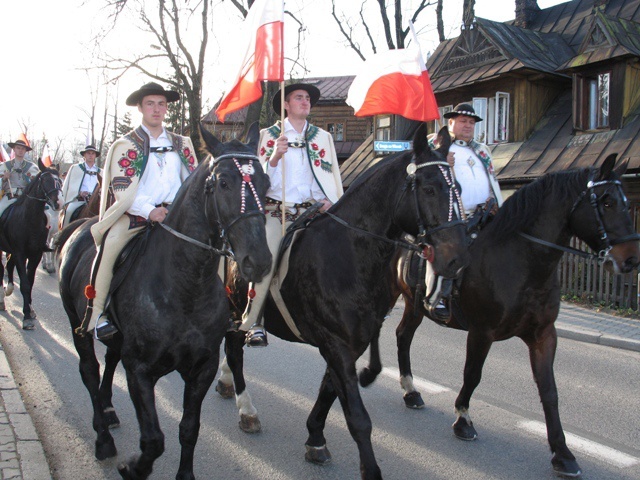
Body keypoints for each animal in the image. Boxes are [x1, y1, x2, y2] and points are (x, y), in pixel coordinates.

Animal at [0, 160, 62, 326]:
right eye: (45, 180)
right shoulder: (20, 253)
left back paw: (8, 289)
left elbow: (30, 282)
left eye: (60, 181)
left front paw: (30, 310)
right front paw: (27, 316)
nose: (58, 203)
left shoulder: (35, 254)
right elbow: (25, 284)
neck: (29, 221)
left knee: (9, 266)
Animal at [55, 124, 272, 480]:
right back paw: (103, 439)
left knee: (108, 361)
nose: (260, 261)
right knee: (89, 370)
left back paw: (109, 410)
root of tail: (79, 228)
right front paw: (132, 467)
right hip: (79, 325)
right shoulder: (140, 371)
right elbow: (154, 439)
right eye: (224, 182)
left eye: (267, 184)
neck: (184, 288)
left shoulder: (201, 369)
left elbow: (189, 429)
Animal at [220, 124, 470, 480]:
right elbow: (357, 417)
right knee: (235, 352)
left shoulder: (350, 342)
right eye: (430, 188)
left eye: (458, 187)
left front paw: (315, 438)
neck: (350, 252)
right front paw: (370, 469)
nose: (458, 259)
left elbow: (329, 391)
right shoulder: (335, 343)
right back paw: (246, 410)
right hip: (234, 309)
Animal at [360, 156, 640, 478]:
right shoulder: (482, 332)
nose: (631, 259)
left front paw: (562, 453)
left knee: (403, 336)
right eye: (606, 201)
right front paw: (463, 419)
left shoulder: (544, 335)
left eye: (624, 201)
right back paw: (374, 374)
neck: (521, 259)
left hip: (413, 303)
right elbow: (472, 375)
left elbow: (549, 391)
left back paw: (411, 391)